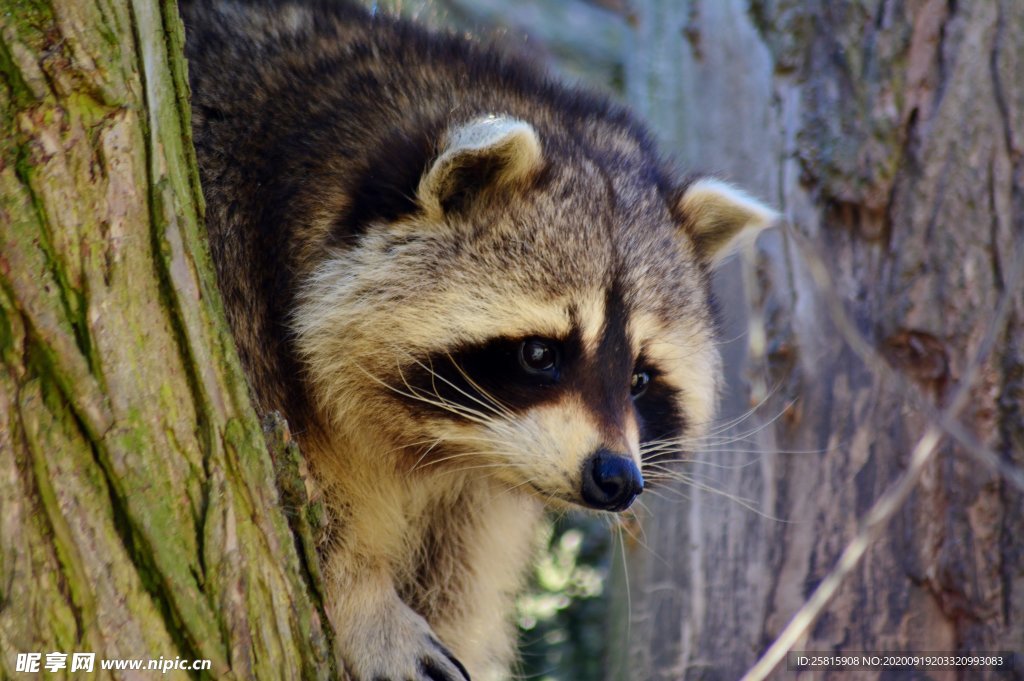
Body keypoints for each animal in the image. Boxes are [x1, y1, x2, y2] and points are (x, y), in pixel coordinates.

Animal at [182, 2, 774, 675]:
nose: (617, 479)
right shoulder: (231, 272)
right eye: (540, 353)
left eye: (639, 378)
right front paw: (362, 600)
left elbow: (459, 569)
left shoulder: (486, 481)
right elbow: (290, 499)